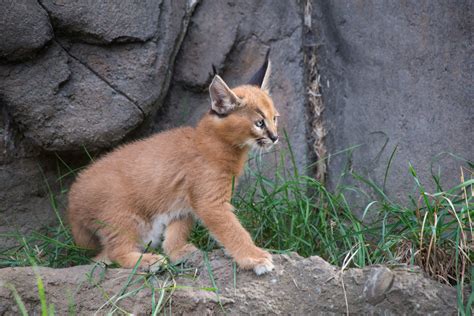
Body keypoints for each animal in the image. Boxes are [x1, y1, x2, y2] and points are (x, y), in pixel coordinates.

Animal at [68, 55, 280, 276]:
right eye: (259, 123)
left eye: (274, 118)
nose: (275, 137)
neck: (218, 143)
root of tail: (72, 200)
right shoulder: (211, 202)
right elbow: (233, 230)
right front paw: (254, 257)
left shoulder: (183, 202)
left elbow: (177, 231)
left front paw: (178, 251)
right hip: (121, 214)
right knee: (114, 253)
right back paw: (148, 261)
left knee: (101, 257)